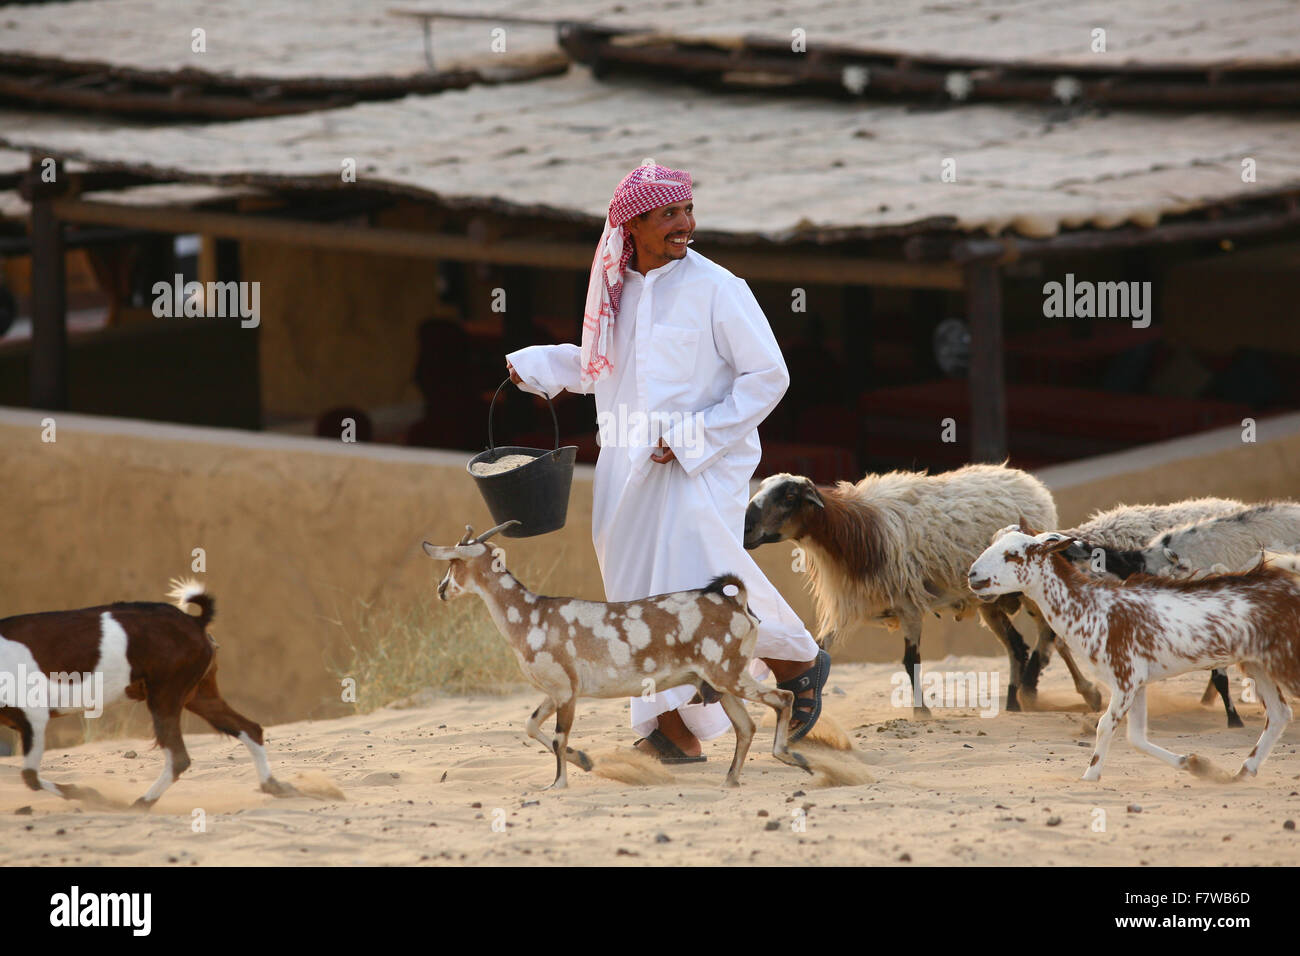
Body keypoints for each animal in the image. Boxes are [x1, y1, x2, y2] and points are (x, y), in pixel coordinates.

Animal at [0, 574, 295, 806]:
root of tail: (194, 622)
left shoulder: (34, 716)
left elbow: (30, 777)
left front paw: (89, 794)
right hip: (198, 695)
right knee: (250, 729)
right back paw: (275, 787)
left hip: (165, 696)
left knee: (179, 758)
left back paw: (140, 803)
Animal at [426, 520, 811, 790]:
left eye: (454, 563)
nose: (441, 590)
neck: (531, 616)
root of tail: (737, 603)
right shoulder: (559, 690)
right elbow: (531, 725)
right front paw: (584, 760)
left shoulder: (565, 690)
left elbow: (558, 736)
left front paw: (557, 783)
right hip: (718, 681)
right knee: (746, 726)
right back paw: (730, 780)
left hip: (728, 672)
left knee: (783, 697)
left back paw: (791, 756)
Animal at [743, 463, 1097, 717]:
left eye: (789, 498)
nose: (745, 530)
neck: (853, 531)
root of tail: (1032, 484)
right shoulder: (856, 607)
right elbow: (819, 650)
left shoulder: (908, 606)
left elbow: (910, 661)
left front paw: (921, 712)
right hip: (989, 601)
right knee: (1017, 646)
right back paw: (1014, 702)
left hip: (1029, 589)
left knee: (1051, 637)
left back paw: (1060, 691)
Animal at [972, 522, 1300, 785]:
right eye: (991, 543)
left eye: (1012, 554)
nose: (973, 575)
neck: (1094, 609)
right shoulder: (1137, 682)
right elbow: (1136, 737)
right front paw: (1195, 764)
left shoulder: (1124, 677)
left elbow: (1105, 726)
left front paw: (1090, 776)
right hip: (1257, 664)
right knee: (1279, 714)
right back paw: (1243, 772)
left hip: (1287, 658)